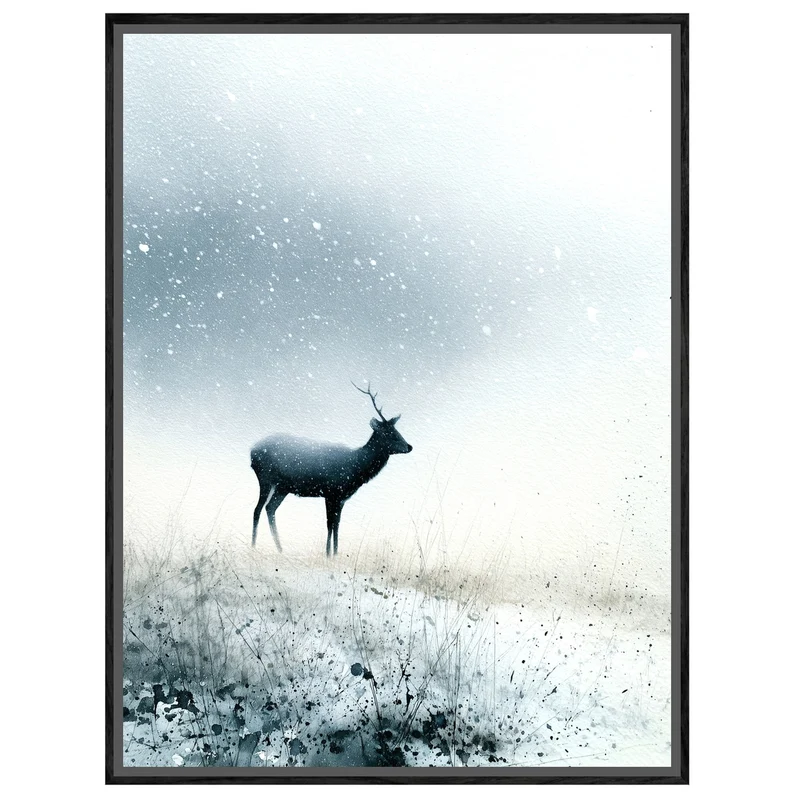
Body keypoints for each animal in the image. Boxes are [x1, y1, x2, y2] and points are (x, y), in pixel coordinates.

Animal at [250, 383, 412, 557]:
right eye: (389, 434)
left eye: (397, 431)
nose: (409, 446)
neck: (356, 468)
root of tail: (252, 452)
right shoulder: (331, 492)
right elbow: (329, 524)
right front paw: (328, 554)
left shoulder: (341, 498)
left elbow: (337, 524)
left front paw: (335, 554)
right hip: (265, 478)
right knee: (257, 509)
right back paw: (253, 546)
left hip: (283, 487)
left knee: (270, 508)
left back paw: (280, 549)